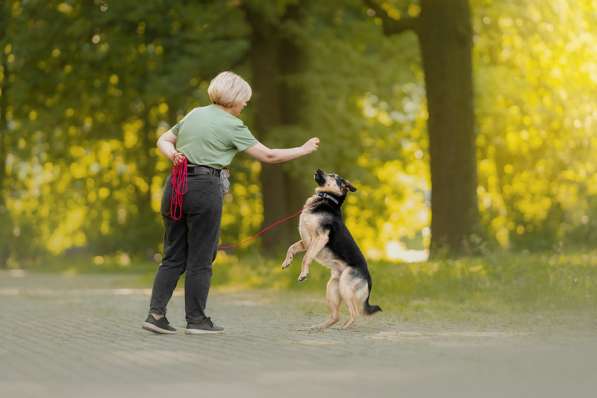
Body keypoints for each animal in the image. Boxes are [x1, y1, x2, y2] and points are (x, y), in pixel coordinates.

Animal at [280, 169, 382, 328]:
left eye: (333, 176)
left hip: (345, 286)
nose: (318, 169)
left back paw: (344, 328)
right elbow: (291, 248)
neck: (326, 198)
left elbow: (306, 257)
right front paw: (287, 261)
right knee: (335, 316)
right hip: (332, 289)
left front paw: (303, 274)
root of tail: (369, 280)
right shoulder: (306, 242)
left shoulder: (320, 238)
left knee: (355, 312)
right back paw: (318, 328)